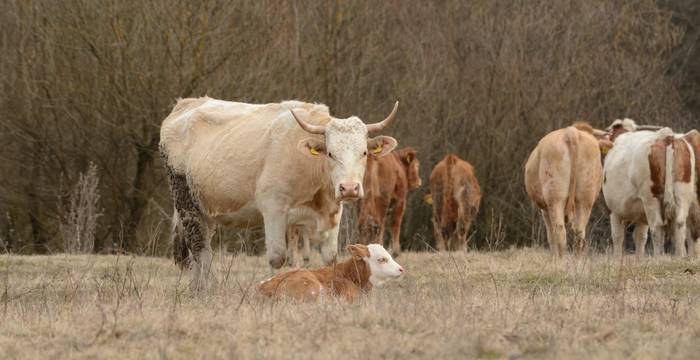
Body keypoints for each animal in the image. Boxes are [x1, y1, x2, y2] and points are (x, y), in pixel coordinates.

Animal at [160, 97, 400, 292]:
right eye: (331, 153)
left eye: (364, 152)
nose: (349, 188)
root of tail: (186, 104)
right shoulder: (273, 208)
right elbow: (277, 257)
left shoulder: (333, 211)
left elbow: (330, 257)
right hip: (185, 201)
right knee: (199, 247)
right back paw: (204, 289)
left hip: (206, 209)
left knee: (201, 247)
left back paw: (199, 288)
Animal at [524, 123, 612, 256]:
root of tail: (571, 132)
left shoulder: (545, 209)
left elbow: (550, 236)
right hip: (585, 198)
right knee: (580, 232)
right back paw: (577, 260)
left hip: (555, 197)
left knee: (559, 231)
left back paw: (560, 259)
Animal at [600, 126, 696, 256]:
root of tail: (665, 136)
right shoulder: (641, 215)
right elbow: (640, 238)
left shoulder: (614, 211)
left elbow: (618, 237)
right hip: (683, 194)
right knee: (679, 224)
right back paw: (680, 256)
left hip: (650, 199)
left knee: (657, 227)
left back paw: (658, 257)